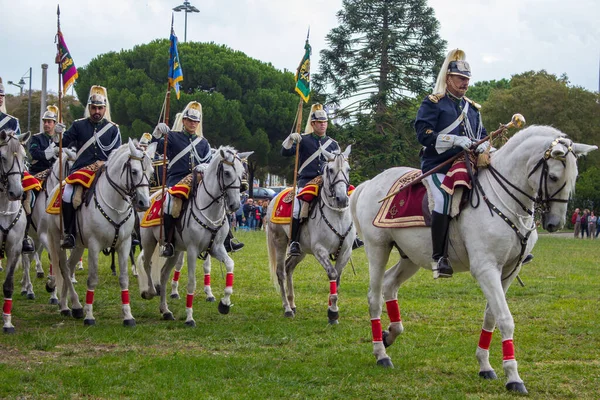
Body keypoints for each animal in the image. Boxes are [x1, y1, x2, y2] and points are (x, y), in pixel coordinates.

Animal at [46, 141, 156, 324]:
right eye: (134, 171)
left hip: (78, 246)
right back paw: (73, 305)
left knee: (69, 266)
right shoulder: (94, 245)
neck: (116, 204)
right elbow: (92, 279)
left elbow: (123, 279)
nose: (144, 203)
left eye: (151, 172)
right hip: (57, 241)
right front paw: (89, 316)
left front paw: (128, 316)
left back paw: (68, 305)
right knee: (63, 268)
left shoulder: (124, 244)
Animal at [136, 145, 251, 326]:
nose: (235, 205)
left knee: (163, 274)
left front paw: (224, 303)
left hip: (174, 251)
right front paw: (190, 317)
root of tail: (152, 197)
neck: (209, 208)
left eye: (242, 172)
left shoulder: (216, 248)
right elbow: (191, 282)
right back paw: (150, 291)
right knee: (147, 264)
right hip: (149, 242)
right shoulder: (192, 250)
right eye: (226, 173)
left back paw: (165, 310)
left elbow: (230, 265)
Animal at [266, 145, 354, 324]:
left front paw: (332, 309)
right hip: (279, 241)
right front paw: (332, 312)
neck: (338, 215)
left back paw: (292, 304)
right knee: (280, 272)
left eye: (348, 169)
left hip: (301, 251)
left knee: (288, 268)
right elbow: (332, 274)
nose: (342, 199)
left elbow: (337, 279)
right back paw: (287, 308)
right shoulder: (320, 250)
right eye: (330, 170)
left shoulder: (345, 251)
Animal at [350, 126, 596, 394]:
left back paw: (390, 334)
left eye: (574, 177)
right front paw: (514, 377)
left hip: (411, 257)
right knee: (374, 297)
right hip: (378, 249)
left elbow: (491, 316)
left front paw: (485, 366)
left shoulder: (508, 271)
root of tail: (371, 183)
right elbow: (505, 319)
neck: (504, 201)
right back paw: (381, 353)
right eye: (552, 176)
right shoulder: (486, 269)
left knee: (390, 284)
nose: (554, 224)